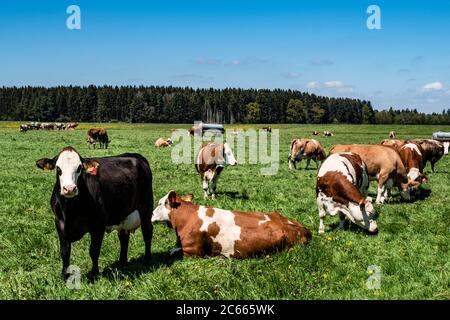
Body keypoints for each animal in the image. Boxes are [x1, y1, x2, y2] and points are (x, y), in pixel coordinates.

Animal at [35, 148, 155, 280]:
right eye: (58, 168)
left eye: (79, 168)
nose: (69, 188)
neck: (70, 211)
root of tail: (135, 156)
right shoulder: (59, 223)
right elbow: (65, 251)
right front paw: (65, 275)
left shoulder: (98, 225)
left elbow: (94, 251)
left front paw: (94, 274)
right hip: (123, 213)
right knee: (124, 236)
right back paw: (122, 262)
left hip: (146, 207)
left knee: (147, 232)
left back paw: (147, 259)